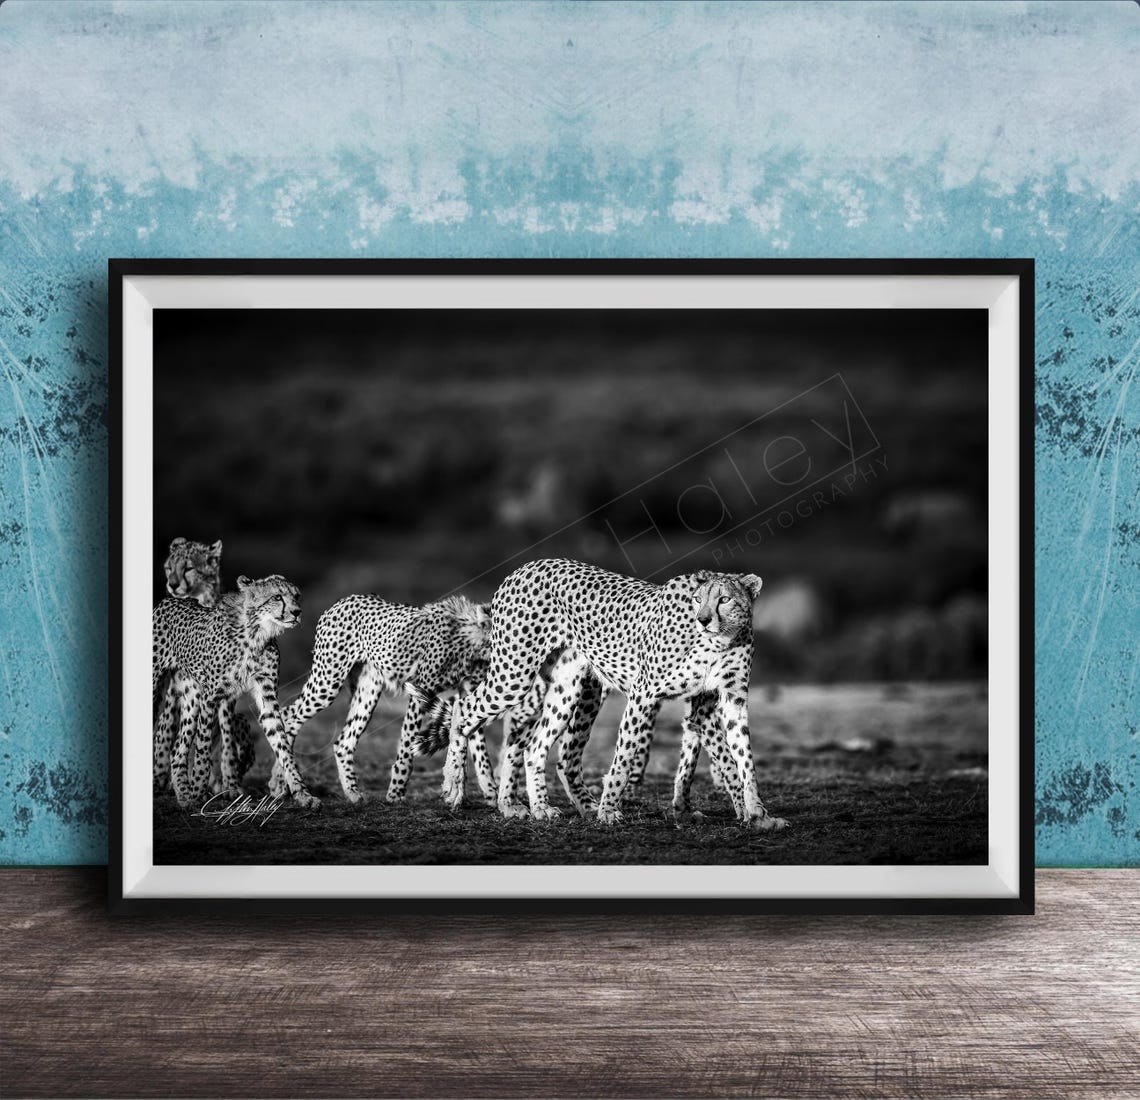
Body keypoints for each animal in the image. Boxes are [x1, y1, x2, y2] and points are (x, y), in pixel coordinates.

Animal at [153, 574, 317, 809]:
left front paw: (302, 793)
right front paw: (199, 791)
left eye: (297, 596)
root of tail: (170, 600)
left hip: (192, 695)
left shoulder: (267, 697)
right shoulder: (211, 697)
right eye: (277, 596)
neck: (257, 633)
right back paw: (187, 794)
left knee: (178, 749)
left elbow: (283, 745)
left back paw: (183, 795)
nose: (297, 612)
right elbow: (203, 748)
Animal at [276, 593, 496, 805]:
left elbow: (478, 747)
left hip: (368, 693)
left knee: (343, 742)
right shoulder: (421, 689)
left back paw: (352, 793)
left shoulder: (467, 692)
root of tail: (343, 600)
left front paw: (490, 793)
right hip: (327, 683)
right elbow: (407, 743)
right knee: (287, 718)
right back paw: (287, 787)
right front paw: (395, 793)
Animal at [416, 558, 787, 830]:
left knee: (537, 747)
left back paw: (537, 808)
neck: (720, 639)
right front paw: (608, 811)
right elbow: (624, 757)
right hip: (514, 675)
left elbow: (743, 758)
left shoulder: (725, 701)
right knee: (466, 709)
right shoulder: (645, 694)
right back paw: (456, 787)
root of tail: (523, 567)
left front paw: (757, 813)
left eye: (725, 599)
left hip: (570, 689)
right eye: (699, 599)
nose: (704, 619)